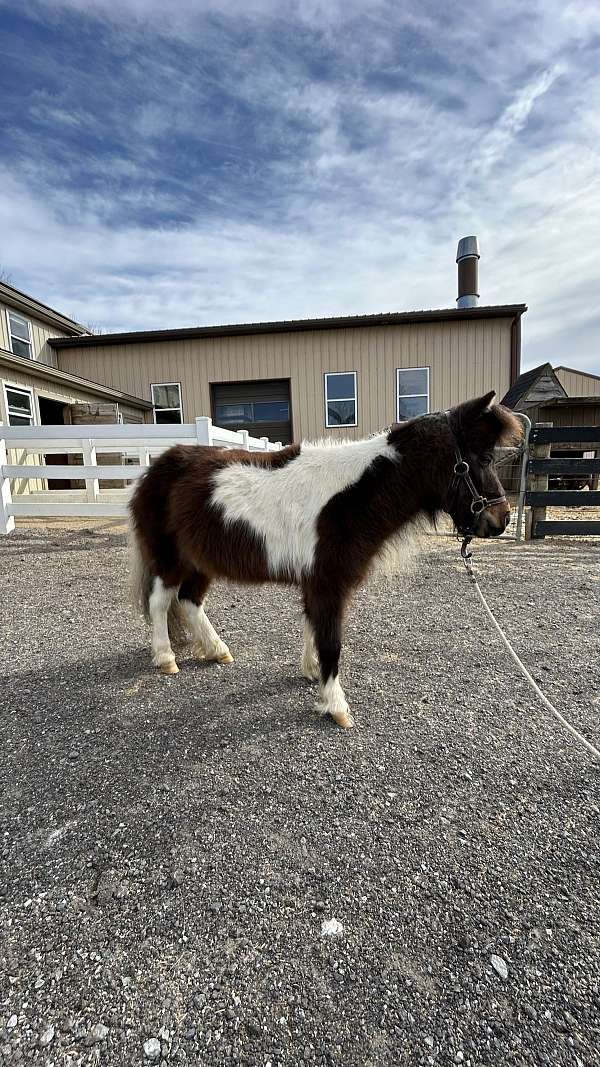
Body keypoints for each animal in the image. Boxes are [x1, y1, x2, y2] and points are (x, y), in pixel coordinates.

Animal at [129, 388, 518, 729]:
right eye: (483, 459)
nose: (501, 519)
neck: (350, 498)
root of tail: (156, 468)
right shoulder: (327, 583)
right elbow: (331, 641)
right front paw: (335, 706)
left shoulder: (315, 582)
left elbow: (312, 627)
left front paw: (312, 672)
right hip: (170, 558)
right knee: (161, 602)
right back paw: (166, 658)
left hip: (200, 561)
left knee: (189, 601)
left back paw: (216, 650)